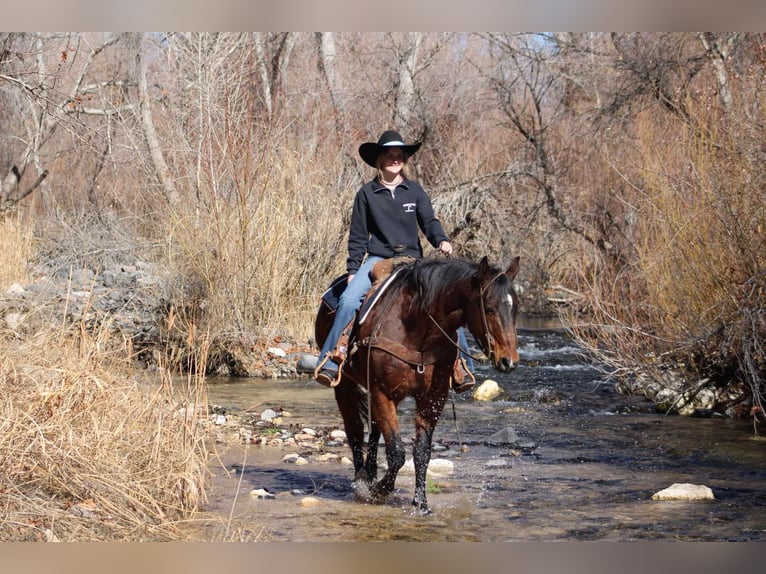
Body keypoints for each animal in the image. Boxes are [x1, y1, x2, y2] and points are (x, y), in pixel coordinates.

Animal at [314, 258, 520, 516]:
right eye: (490, 309)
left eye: (516, 309)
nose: (509, 361)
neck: (415, 327)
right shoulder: (382, 392)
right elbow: (396, 453)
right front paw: (379, 490)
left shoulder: (433, 397)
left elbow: (421, 451)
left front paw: (420, 503)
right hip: (345, 385)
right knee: (354, 430)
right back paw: (361, 479)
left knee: (374, 429)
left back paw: (370, 473)